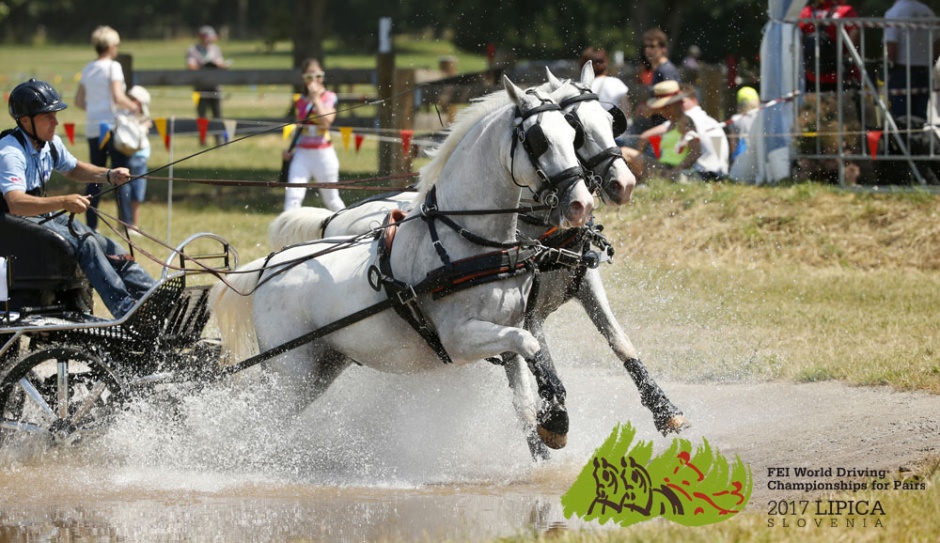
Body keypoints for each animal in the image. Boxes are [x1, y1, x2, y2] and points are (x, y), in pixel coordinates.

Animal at [215, 76, 596, 450]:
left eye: (571, 133)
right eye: (539, 140)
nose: (581, 204)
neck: (466, 240)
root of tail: (268, 266)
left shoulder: (510, 326)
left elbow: (527, 387)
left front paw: (551, 421)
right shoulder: (459, 339)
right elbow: (529, 345)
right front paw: (556, 419)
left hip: (317, 369)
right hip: (290, 372)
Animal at [264, 63, 692, 460]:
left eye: (608, 120)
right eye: (576, 129)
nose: (623, 184)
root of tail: (333, 220)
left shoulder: (582, 283)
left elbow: (620, 342)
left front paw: (666, 411)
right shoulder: (529, 312)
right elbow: (540, 360)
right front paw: (553, 419)